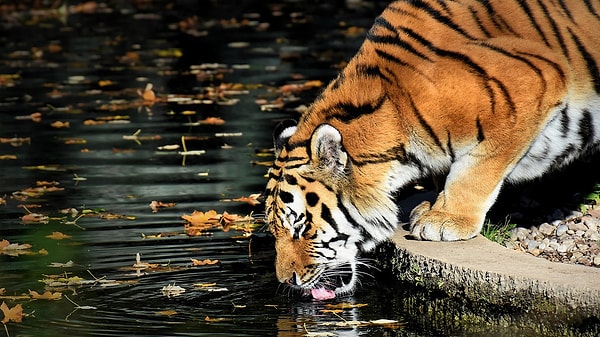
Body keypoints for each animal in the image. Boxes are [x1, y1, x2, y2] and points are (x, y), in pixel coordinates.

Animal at [266, 0, 600, 300]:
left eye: (300, 228)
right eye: (274, 229)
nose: (286, 281)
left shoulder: (531, 83)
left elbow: (477, 169)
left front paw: (446, 219)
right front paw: (432, 206)